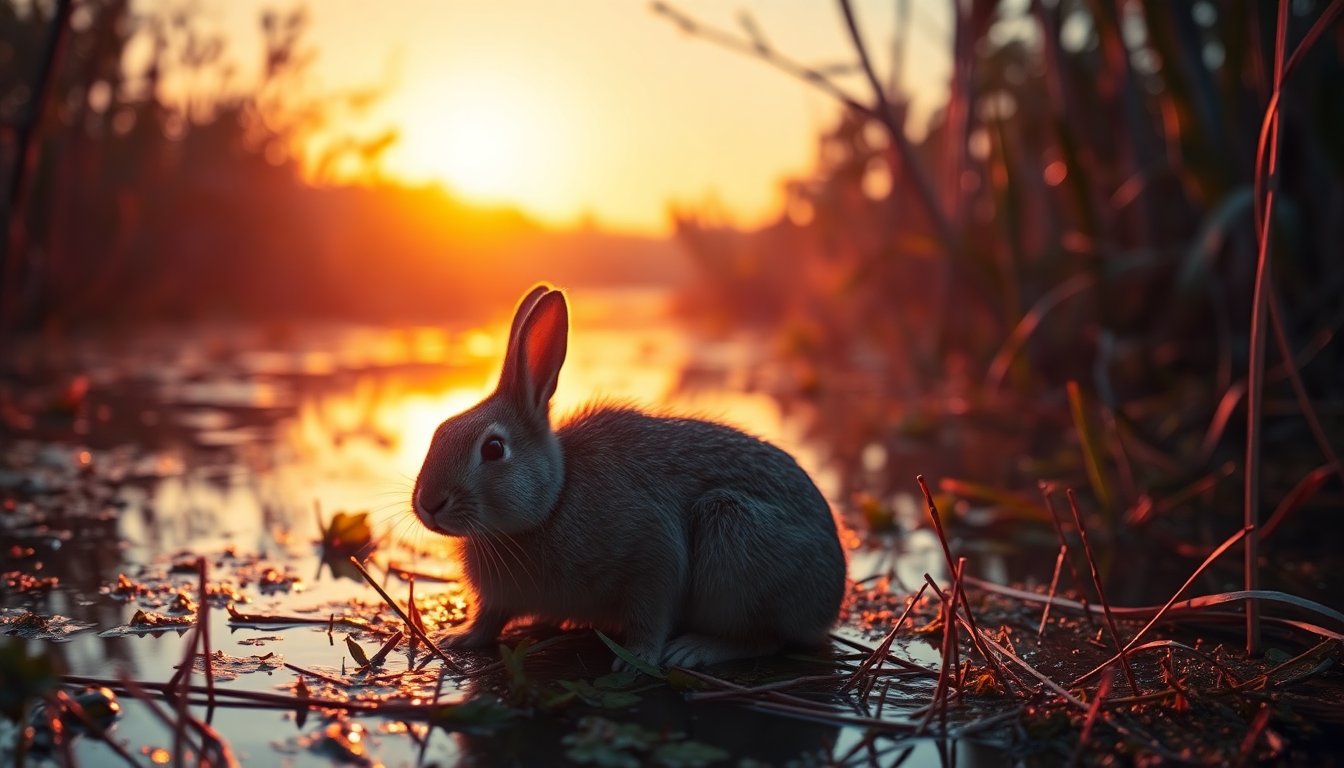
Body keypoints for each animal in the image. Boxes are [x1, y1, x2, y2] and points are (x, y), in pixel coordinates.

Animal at [411, 283, 847, 668]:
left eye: (493, 449)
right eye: (440, 431)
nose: (428, 504)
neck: (555, 499)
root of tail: (834, 587)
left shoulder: (653, 556)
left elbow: (651, 614)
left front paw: (637, 659)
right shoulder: (498, 600)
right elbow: (489, 619)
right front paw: (458, 637)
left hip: (736, 545)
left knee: (765, 638)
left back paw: (694, 650)